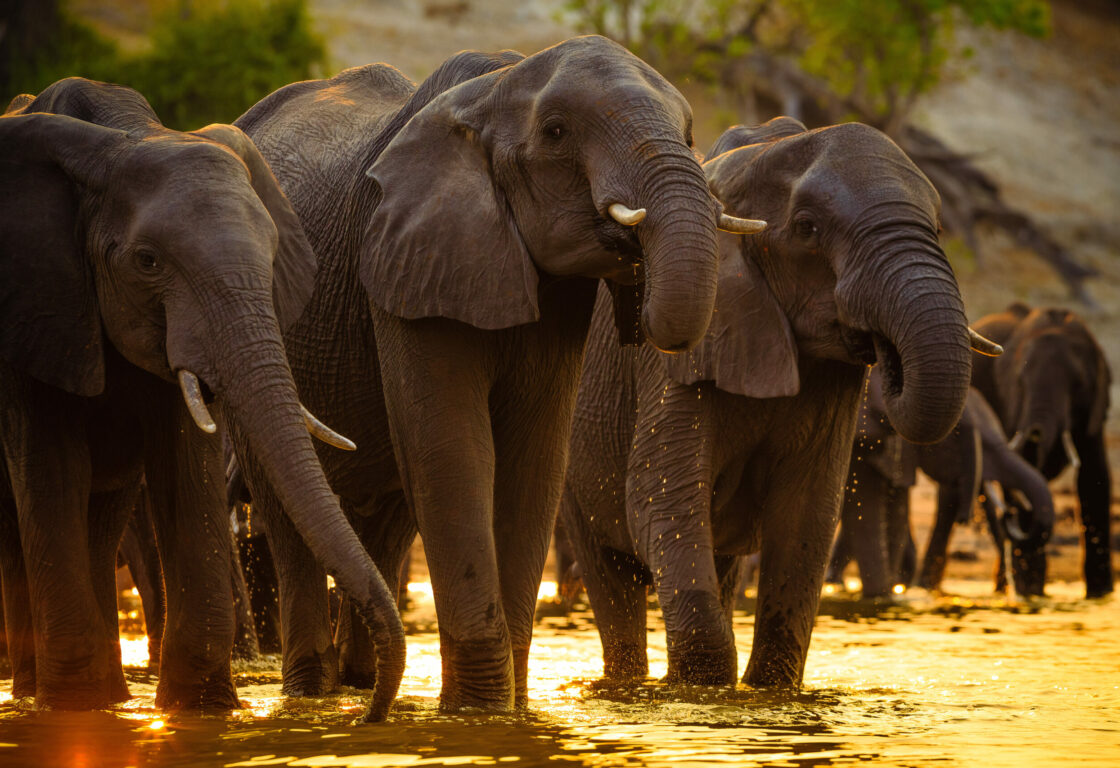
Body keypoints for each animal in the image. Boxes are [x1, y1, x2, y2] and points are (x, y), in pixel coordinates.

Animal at [0, 77, 404, 714]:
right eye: (146, 261)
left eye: (272, 255)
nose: (370, 715)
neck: (119, 139)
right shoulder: (33, 303)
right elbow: (49, 466)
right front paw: (73, 709)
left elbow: (186, 465)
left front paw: (200, 709)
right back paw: (45, 696)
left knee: (103, 520)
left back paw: (109, 697)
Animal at [231, 36, 753, 713]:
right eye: (556, 132)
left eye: (690, 134)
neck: (496, 91)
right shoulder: (408, 253)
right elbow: (452, 449)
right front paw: (477, 713)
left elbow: (534, 457)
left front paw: (508, 712)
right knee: (288, 519)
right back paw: (316, 699)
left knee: (386, 520)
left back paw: (363, 687)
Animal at [560, 117, 997, 688]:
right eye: (807, 228)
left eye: (939, 228)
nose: (886, 348)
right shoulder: (678, 356)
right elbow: (662, 501)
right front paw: (702, 693)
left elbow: (806, 515)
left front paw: (768, 694)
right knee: (611, 574)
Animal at [827, 371, 1055, 598]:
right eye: (961, 435)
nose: (1010, 514)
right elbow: (867, 507)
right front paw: (883, 597)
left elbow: (896, 513)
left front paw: (895, 595)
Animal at [970, 303, 1113, 597]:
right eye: (1020, 382)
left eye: (1077, 384)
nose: (1035, 432)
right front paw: (1030, 592)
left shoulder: (1095, 407)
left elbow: (1095, 476)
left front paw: (1101, 594)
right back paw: (1005, 589)